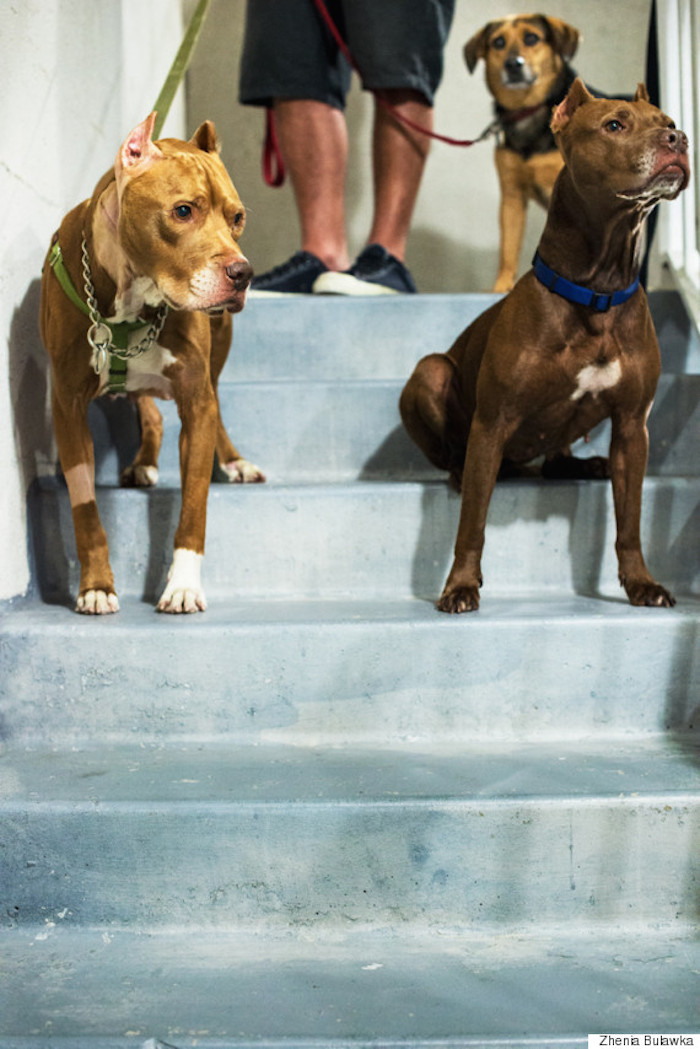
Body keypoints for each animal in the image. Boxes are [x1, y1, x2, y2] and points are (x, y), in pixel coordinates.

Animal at [41, 112, 265, 612]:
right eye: (183, 211)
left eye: (238, 218)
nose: (243, 273)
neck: (133, 296)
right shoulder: (67, 405)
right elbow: (85, 508)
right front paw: (96, 586)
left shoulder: (196, 401)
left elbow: (194, 505)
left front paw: (182, 584)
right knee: (149, 412)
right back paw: (142, 463)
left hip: (215, 361)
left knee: (215, 406)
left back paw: (234, 462)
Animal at [398, 81, 688, 612]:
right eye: (614, 125)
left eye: (669, 120)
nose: (677, 139)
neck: (596, 292)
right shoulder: (492, 424)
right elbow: (472, 521)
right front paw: (460, 585)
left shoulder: (632, 428)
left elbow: (630, 522)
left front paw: (641, 582)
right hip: (431, 372)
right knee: (454, 455)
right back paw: (459, 470)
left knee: (556, 460)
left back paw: (585, 464)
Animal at [468, 15, 583, 295]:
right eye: (498, 42)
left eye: (531, 38)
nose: (513, 65)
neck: (527, 110)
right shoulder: (512, 196)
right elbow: (508, 248)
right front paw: (502, 286)